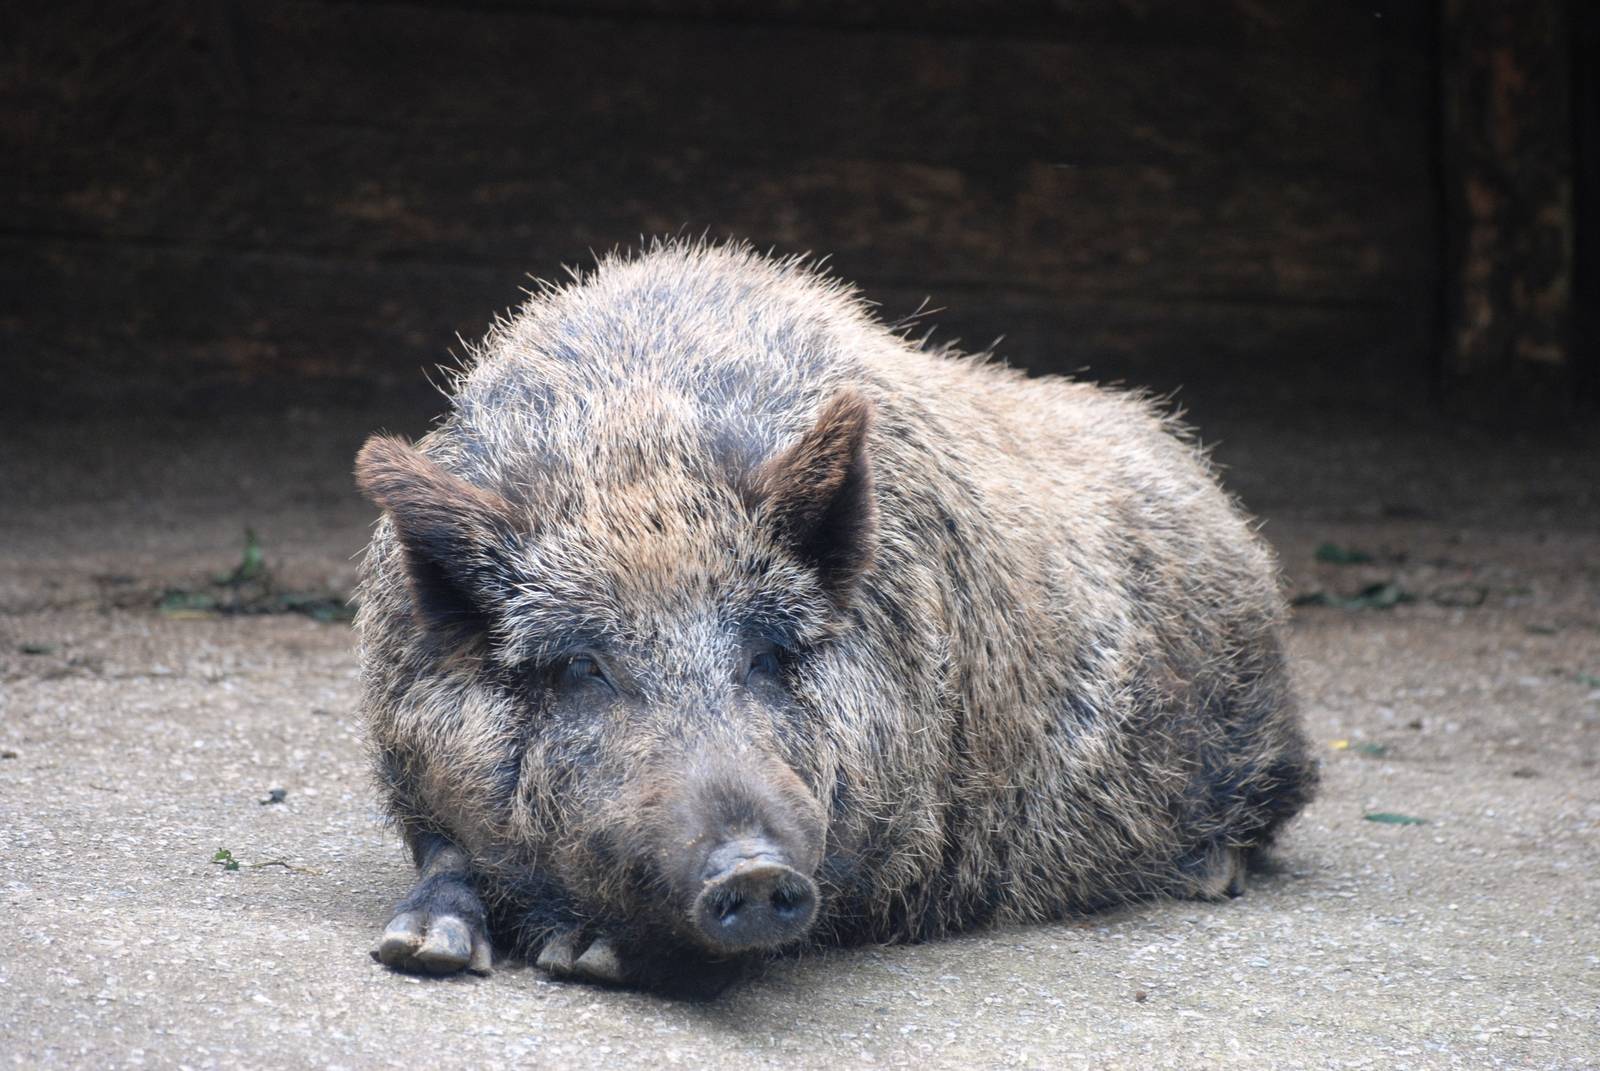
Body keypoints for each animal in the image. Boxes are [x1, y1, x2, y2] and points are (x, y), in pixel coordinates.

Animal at [353, 239, 1317, 988]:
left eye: (768, 653)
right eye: (583, 665)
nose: (749, 869)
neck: (641, 443)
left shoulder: (902, 840)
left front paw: (585, 955)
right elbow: (445, 853)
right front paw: (420, 951)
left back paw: (1211, 876)